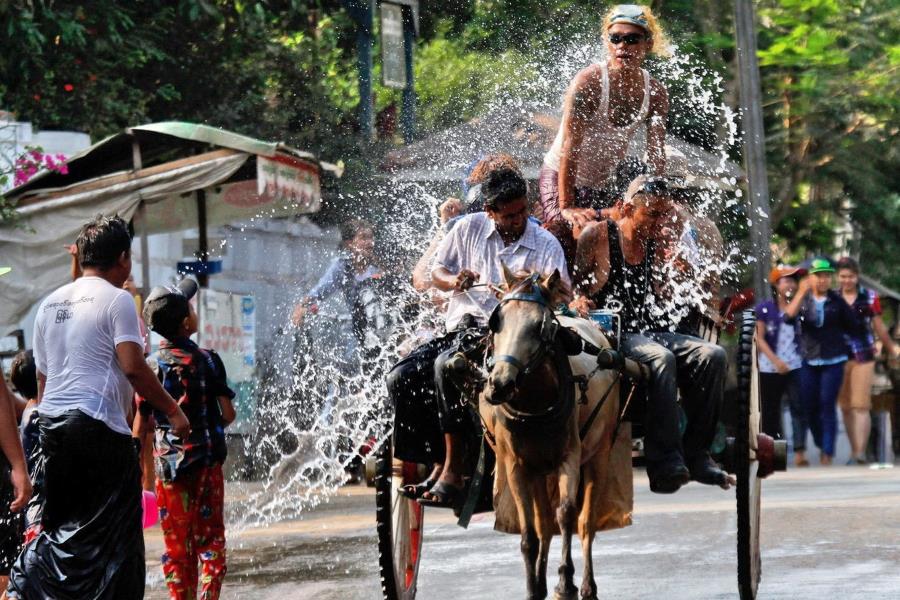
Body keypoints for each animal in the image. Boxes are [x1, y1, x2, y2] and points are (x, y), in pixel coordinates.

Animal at [478, 268, 632, 600]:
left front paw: (565, 580)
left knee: (584, 522)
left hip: (598, 453)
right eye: (496, 321)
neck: (534, 404)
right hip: (538, 469)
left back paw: (585, 584)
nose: (500, 384)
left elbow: (566, 515)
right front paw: (533, 587)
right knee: (543, 523)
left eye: (541, 327)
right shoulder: (516, 466)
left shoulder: (569, 458)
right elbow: (530, 534)